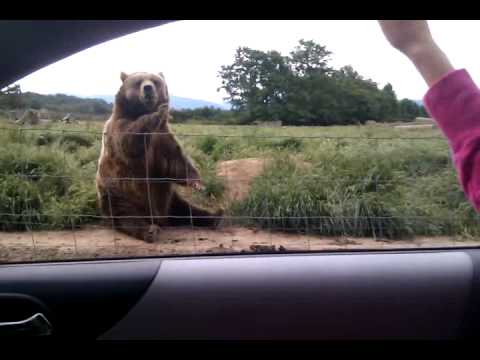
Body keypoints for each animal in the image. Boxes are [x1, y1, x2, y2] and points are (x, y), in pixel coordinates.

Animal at [97, 71, 225, 243]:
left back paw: (215, 217)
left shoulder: (162, 138)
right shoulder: (119, 128)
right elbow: (129, 141)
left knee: (184, 209)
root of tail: (158, 217)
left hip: (167, 196)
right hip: (118, 192)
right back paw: (149, 231)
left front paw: (197, 182)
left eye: (155, 81)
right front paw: (159, 111)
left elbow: (175, 161)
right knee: (125, 214)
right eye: (138, 82)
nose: (148, 88)